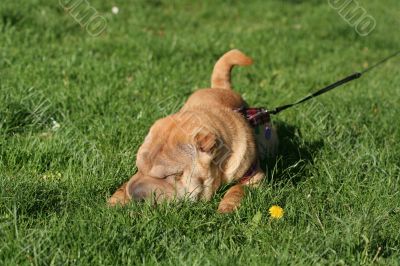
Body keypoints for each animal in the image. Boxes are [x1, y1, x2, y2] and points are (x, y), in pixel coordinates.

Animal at [109, 49, 278, 212]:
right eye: (138, 168)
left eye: (171, 175)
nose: (135, 196)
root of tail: (220, 88)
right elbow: (126, 183)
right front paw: (117, 198)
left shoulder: (254, 178)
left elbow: (237, 189)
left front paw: (227, 207)